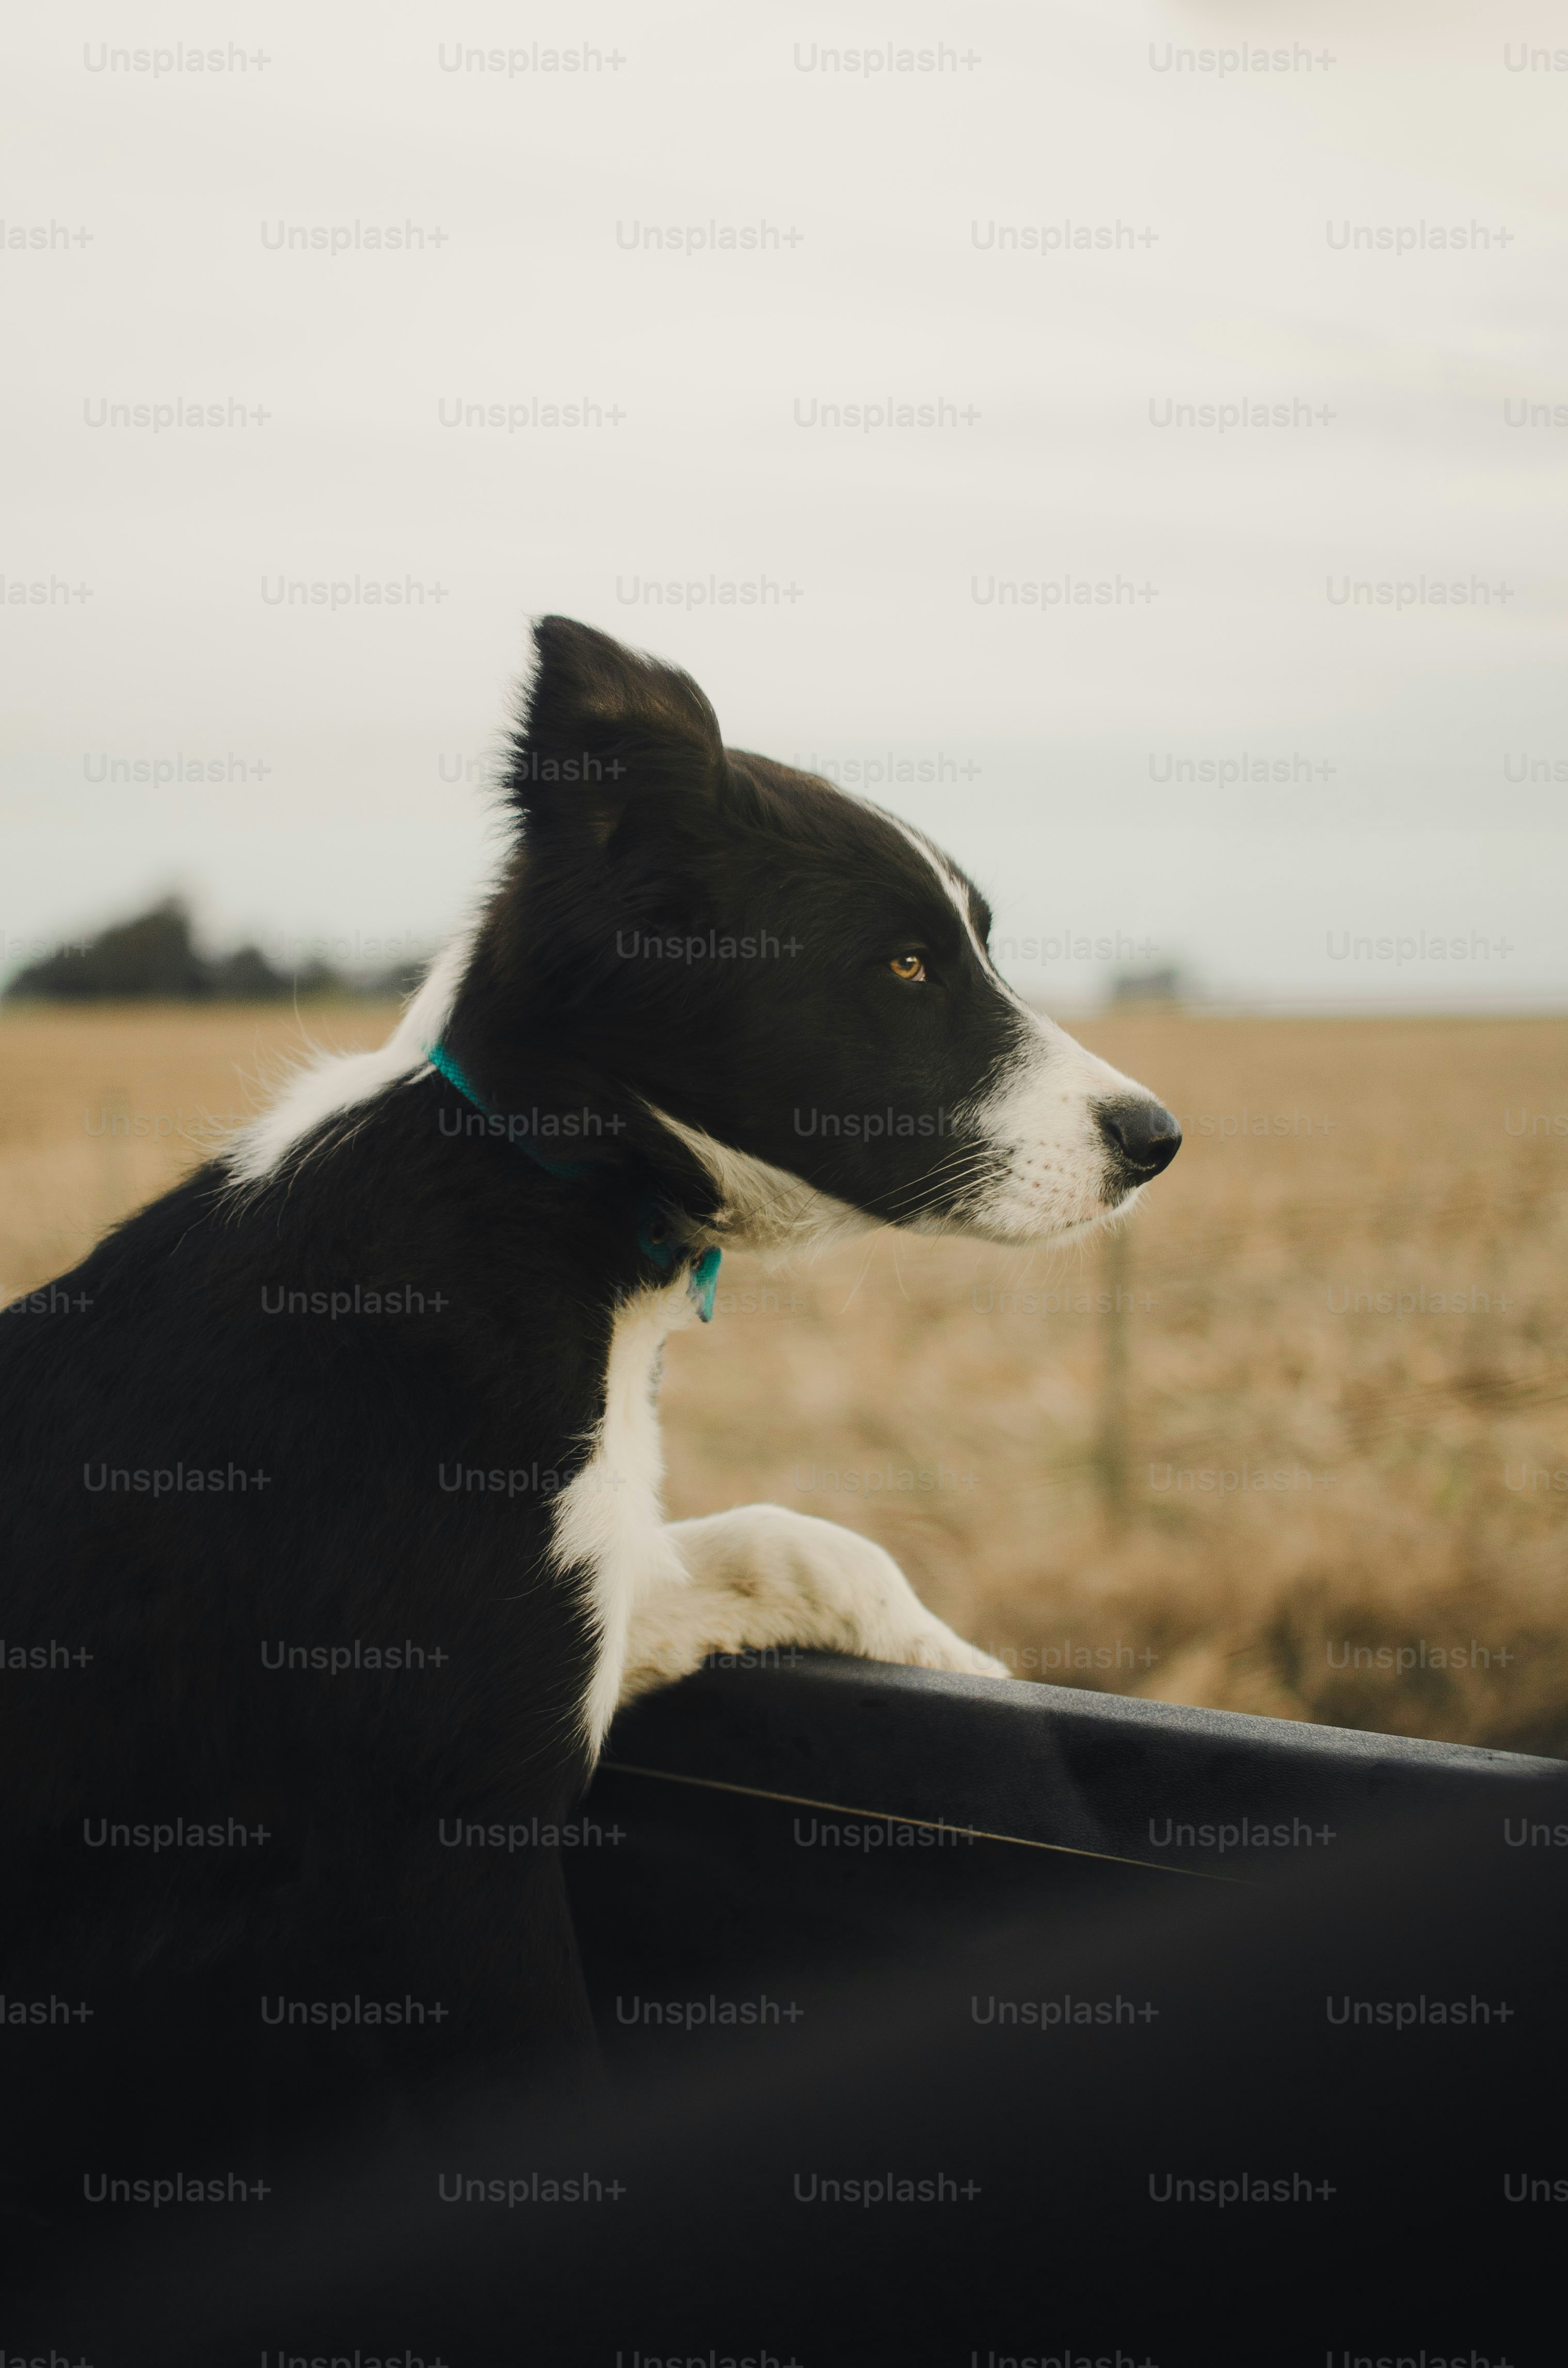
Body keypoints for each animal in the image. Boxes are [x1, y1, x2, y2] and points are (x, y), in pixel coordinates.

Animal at [0, 620, 1179, 2207]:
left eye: (969, 943)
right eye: (904, 961)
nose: (1157, 1139)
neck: (540, 1181)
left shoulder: (583, 1597)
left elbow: (804, 1542)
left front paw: (968, 1674)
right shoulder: (446, 1854)